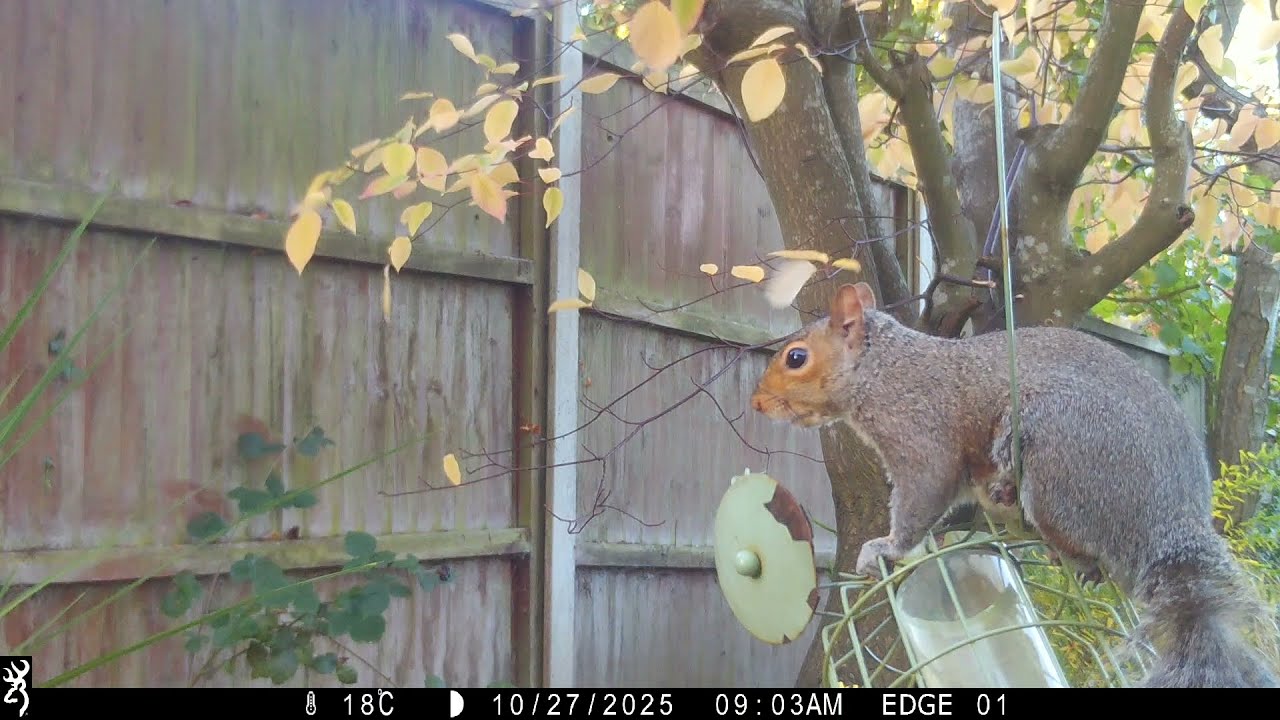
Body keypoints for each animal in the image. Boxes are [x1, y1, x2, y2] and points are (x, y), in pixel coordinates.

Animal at [750, 281, 1278, 688]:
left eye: (796, 358)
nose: (757, 404)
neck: (884, 371)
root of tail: (1173, 520)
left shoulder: (921, 439)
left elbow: (921, 499)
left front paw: (886, 547)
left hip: (1058, 452)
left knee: (1083, 541)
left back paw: (1057, 542)